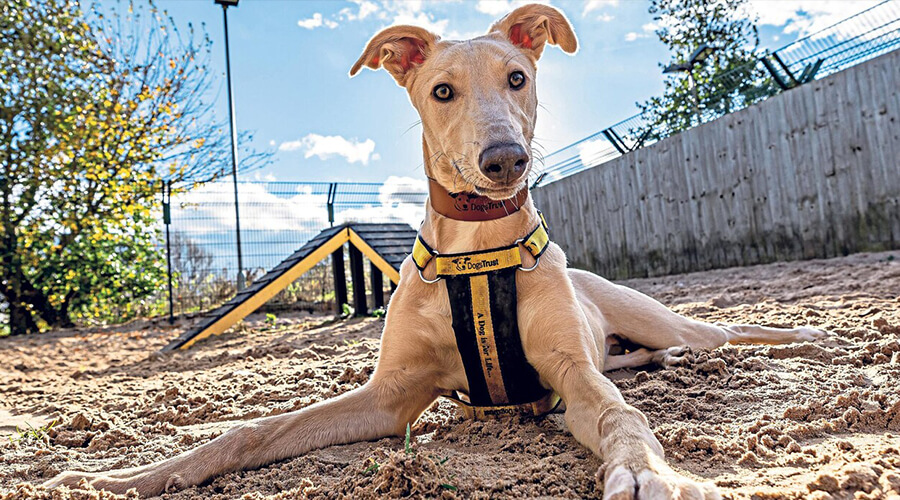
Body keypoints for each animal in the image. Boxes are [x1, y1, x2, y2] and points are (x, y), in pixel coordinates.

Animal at [45, 4, 828, 500]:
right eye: (442, 91)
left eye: (518, 77)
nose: (504, 161)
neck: (477, 255)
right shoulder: (390, 396)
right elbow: (250, 431)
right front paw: (111, 479)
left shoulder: (572, 374)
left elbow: (620, 419)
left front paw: (650, 475)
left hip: (661, 317)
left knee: (724, 331)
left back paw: (809, 338)